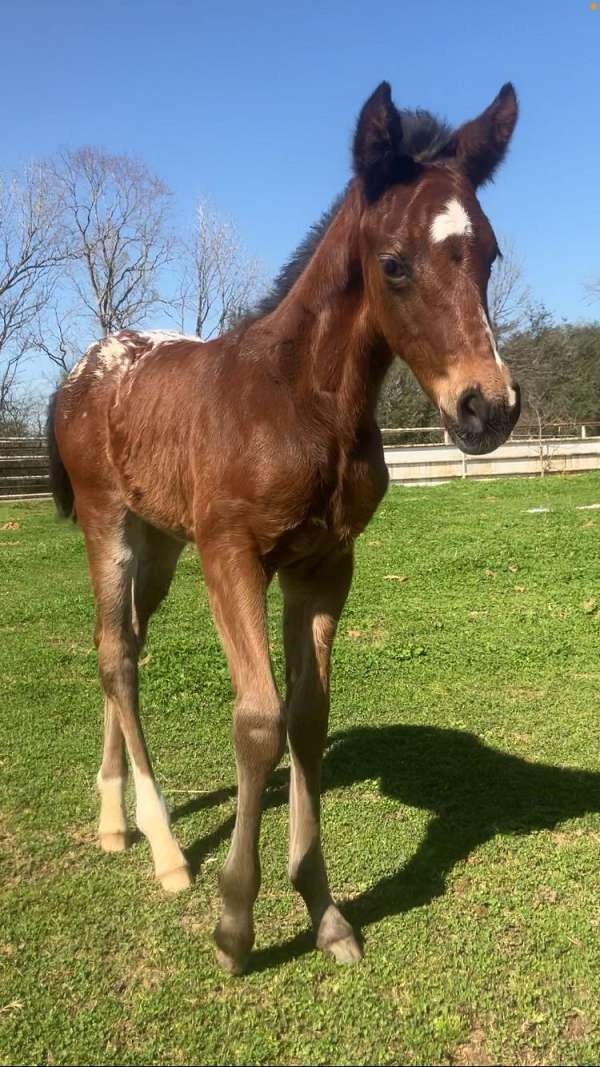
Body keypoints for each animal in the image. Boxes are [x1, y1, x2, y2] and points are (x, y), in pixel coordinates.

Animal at [47, 78, 518, 973]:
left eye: (490, 254)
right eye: (394, 263)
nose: (489, 407)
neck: (303, 401)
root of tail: (80, 371)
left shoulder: (326, 562)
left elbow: (307, 715)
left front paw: (324, 909)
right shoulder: (232, 554)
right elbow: (259, 719)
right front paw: (235, 923)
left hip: (161, 545)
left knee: (119, 649)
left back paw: (113, 819)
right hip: (108, 526)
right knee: (117, 654)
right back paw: (164, 848)